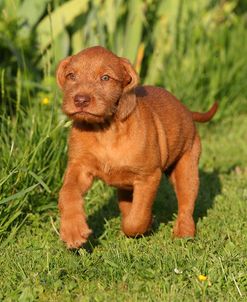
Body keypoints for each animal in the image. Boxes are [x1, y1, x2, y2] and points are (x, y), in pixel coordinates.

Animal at [56, 44, 218, 248]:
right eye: (71, 76)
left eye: (105, 78)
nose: (80, 100)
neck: (105, 130)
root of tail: (187, 111)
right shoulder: (79, 168)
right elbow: (67, 193)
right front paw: (72, 230)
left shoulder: (148, 177)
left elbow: (137, 218)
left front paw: (145, 224)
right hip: (125, 187)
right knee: (127, 205)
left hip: (186, 167)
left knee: (186, 203)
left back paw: (184, 233)